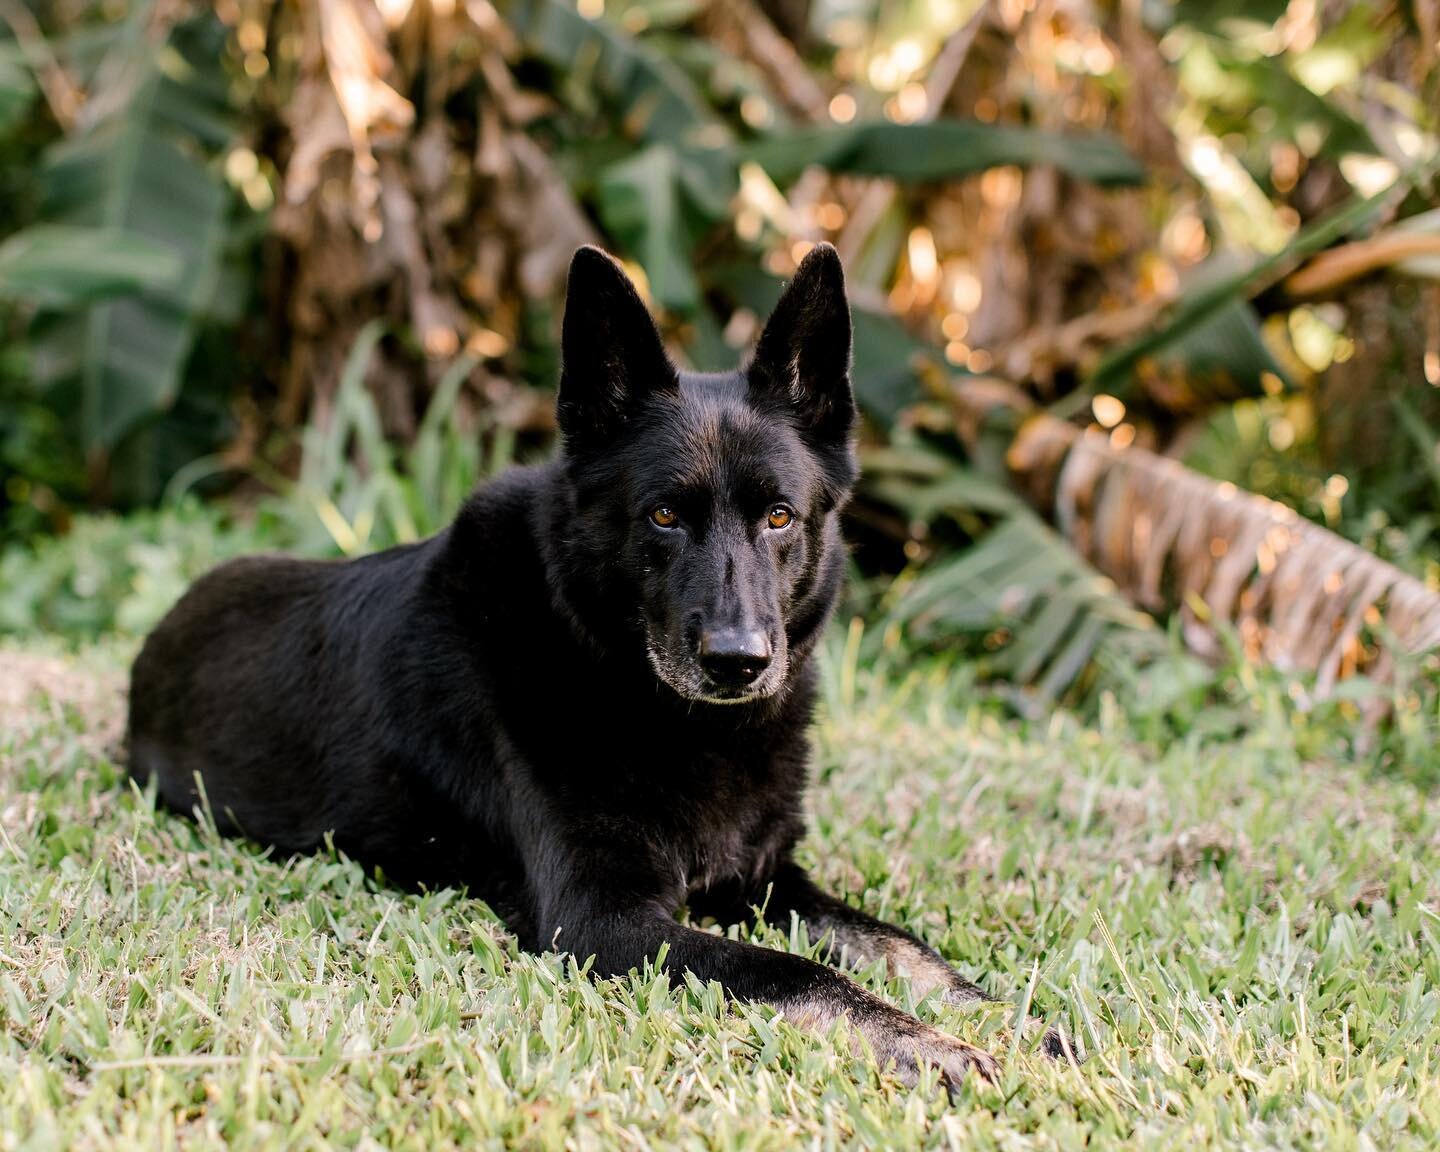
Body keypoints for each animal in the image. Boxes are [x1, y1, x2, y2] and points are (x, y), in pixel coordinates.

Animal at [126, 243, 1048, 1088]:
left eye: (781, 516)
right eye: (665, 515)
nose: (738, 664)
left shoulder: (766, 881)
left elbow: (901, 945)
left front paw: (1007, 1015)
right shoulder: (603, 923)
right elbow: (798, 971)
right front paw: (929, 1042)